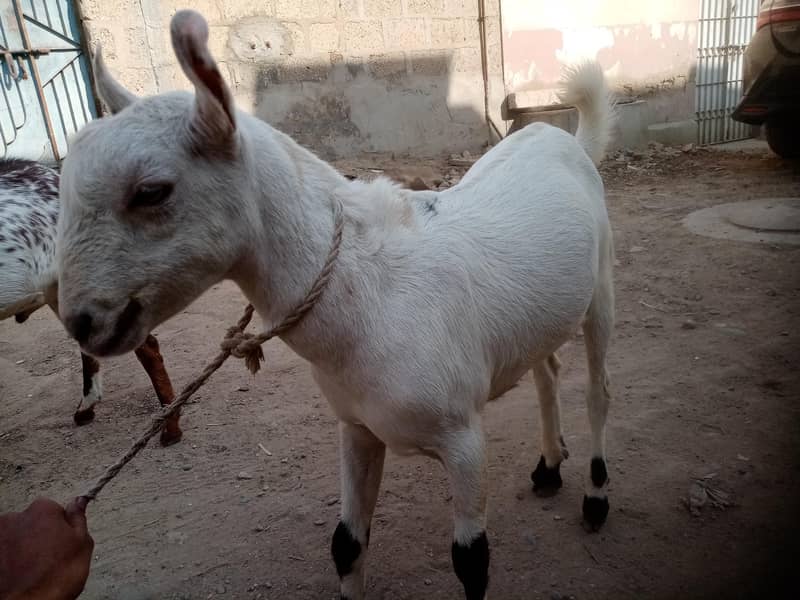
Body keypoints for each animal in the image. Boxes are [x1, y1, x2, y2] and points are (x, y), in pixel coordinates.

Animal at [55, 10, 616, 599]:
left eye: (151, 192)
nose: (81, 322)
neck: (371, 294)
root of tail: (562, 138)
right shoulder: (357, 428)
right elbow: (345, 544)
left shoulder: (464, 440)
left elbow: (472, 560)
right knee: (547, 370)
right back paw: (549, 466)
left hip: (601, 285)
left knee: (597, 390)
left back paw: (595, 496)